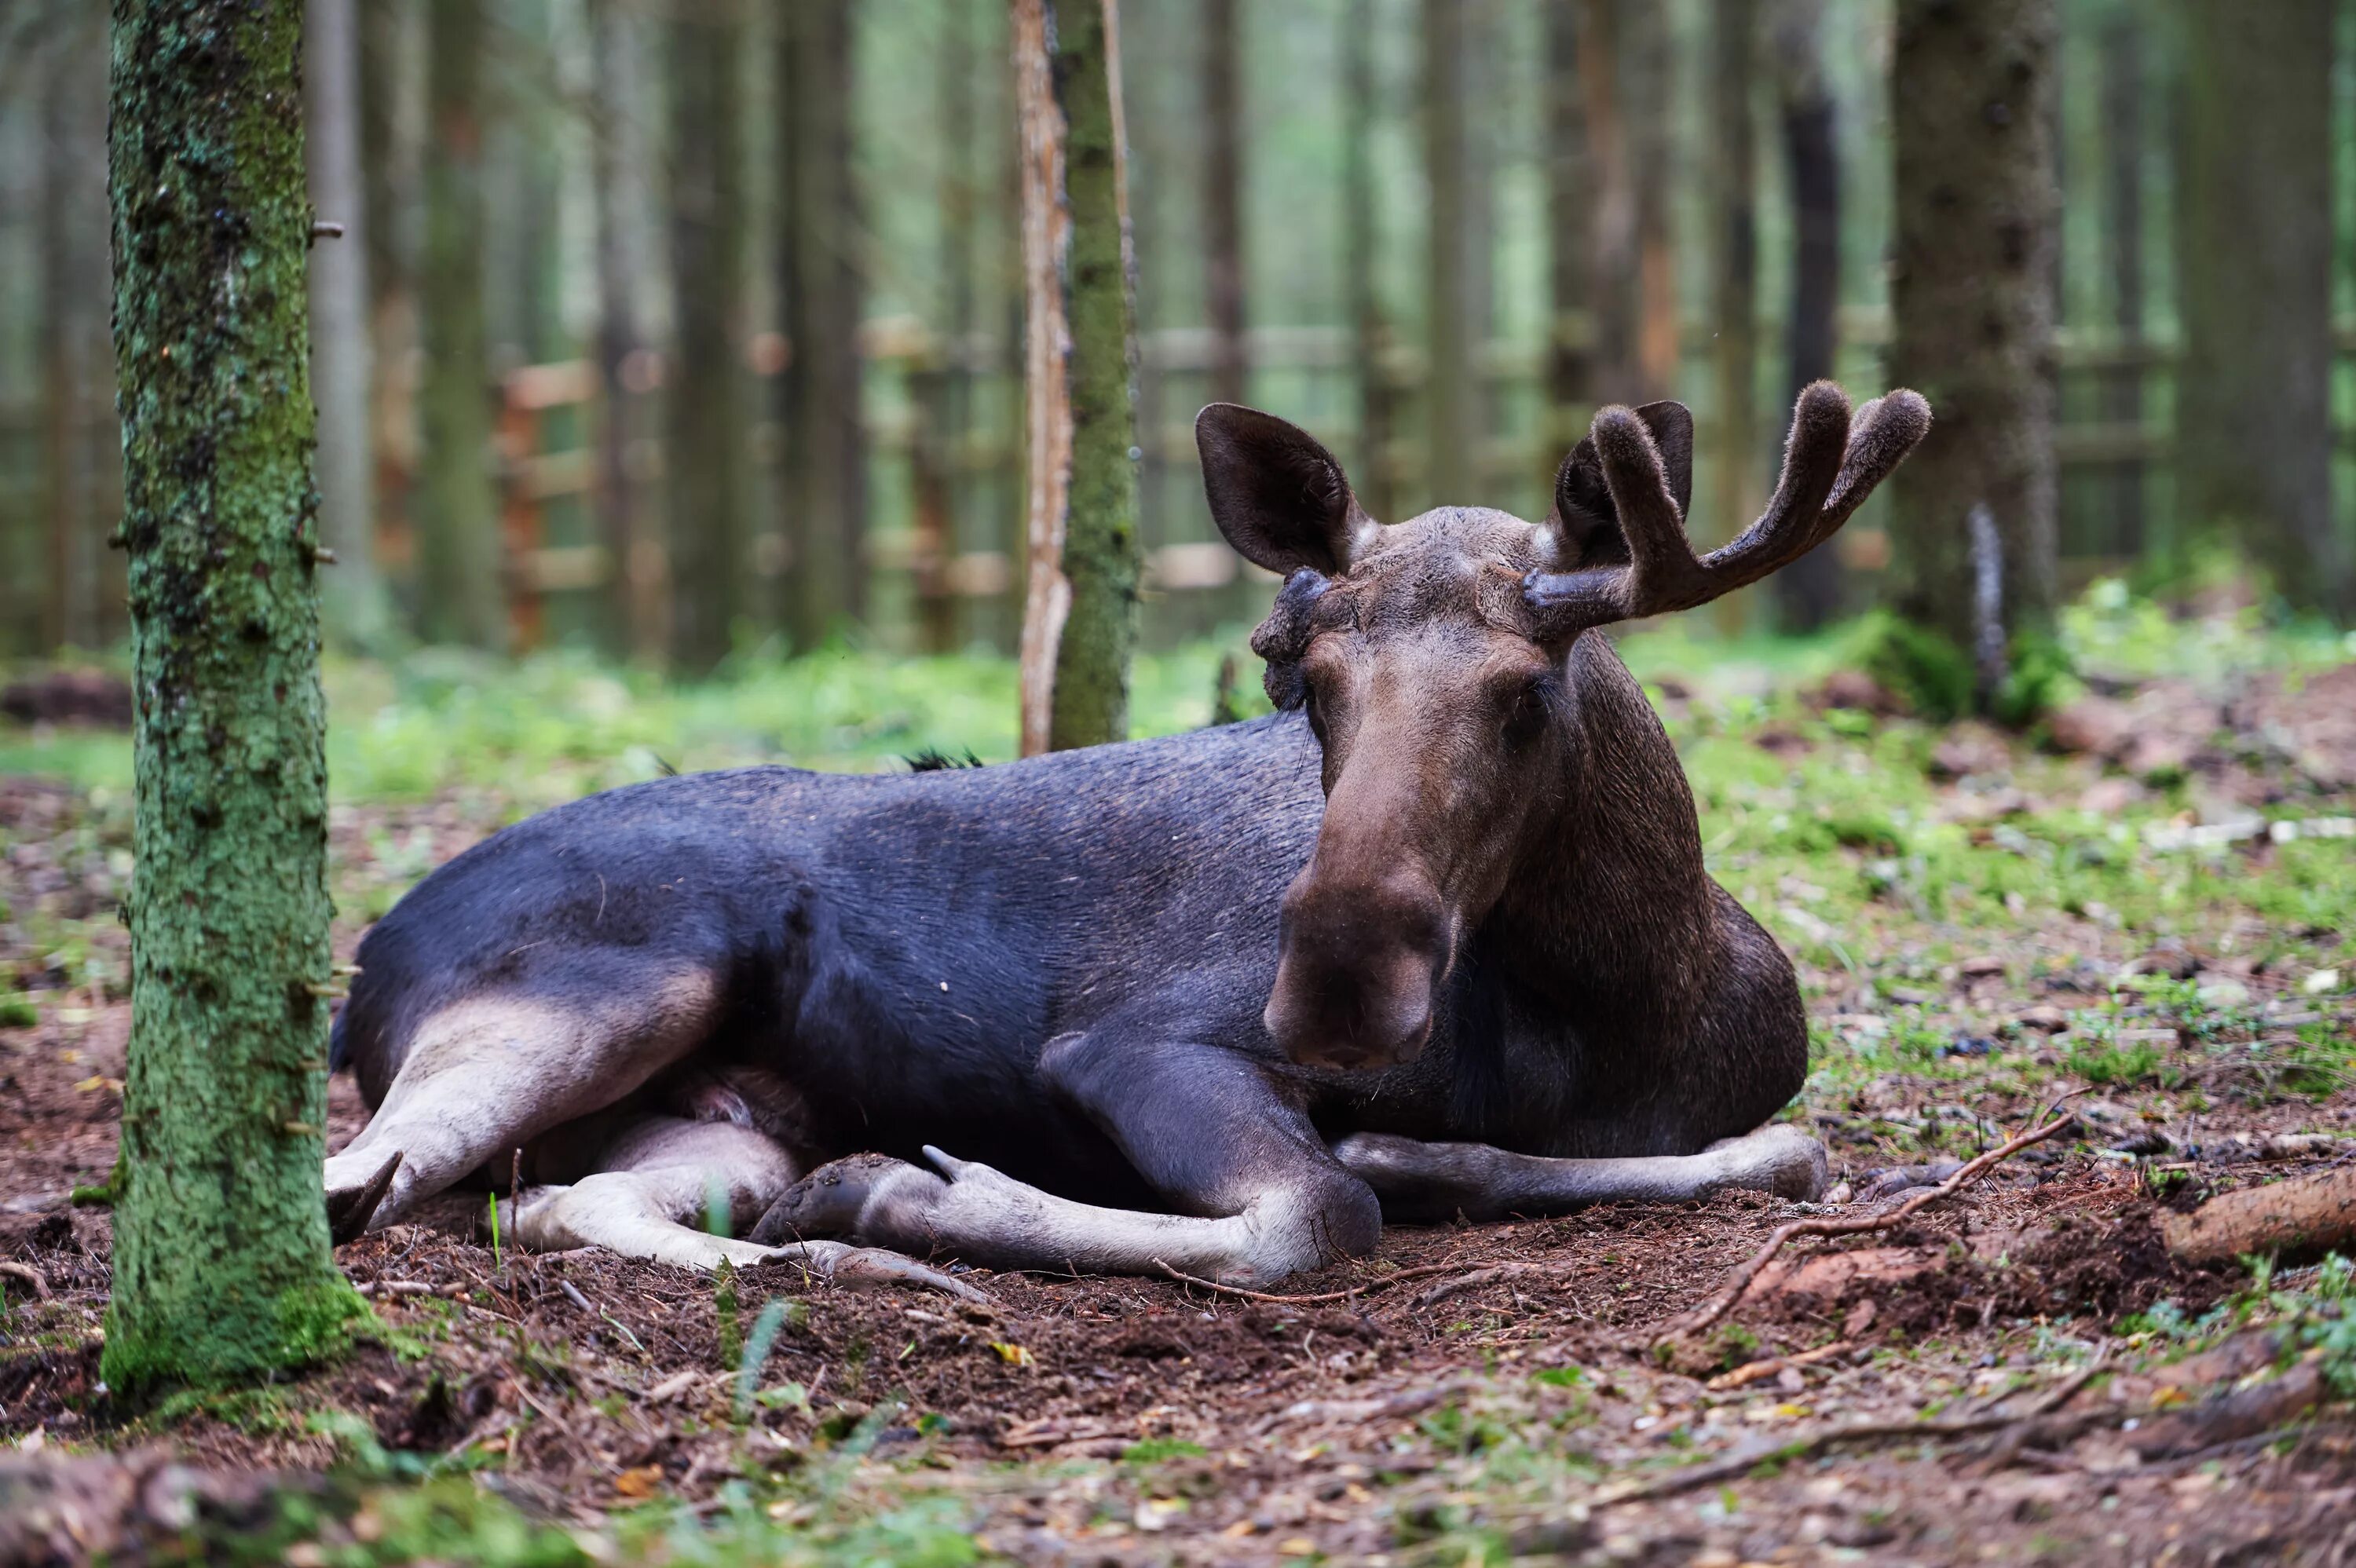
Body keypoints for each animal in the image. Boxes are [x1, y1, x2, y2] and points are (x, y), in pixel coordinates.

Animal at [327, 378, 1932, 1281]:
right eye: (1304, 678)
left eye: (1529, 688)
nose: (1338, 988)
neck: (1633, 1002)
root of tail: (362, 962)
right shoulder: (1133, 1041)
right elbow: (1321, 1213)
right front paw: (929, 1194)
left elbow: (1794, 1152)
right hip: (603, 988)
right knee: (362, 1186)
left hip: (725, 1116)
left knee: (554, 1205)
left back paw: (832, 1249)